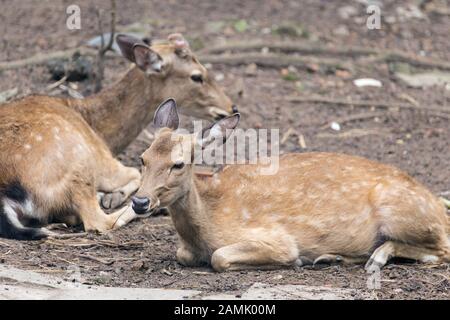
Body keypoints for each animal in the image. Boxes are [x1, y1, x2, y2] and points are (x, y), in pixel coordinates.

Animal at [0, 33, 237, 240]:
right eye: (197, 76)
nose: (231, 106)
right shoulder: (104, 161)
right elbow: (135, 172)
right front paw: (114, 196)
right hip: (80, 164)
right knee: (98, 221)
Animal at [133, 99, 450, 272]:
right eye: (143, 158)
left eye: (178, 164)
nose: (139, 201)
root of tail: (440, 209)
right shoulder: (186, 250)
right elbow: (182, 254)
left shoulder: (277, 239)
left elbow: (220, 256)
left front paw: (295, 262)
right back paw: (331, 257)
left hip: (400, 212)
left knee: (442, 250)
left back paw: (377, 256)